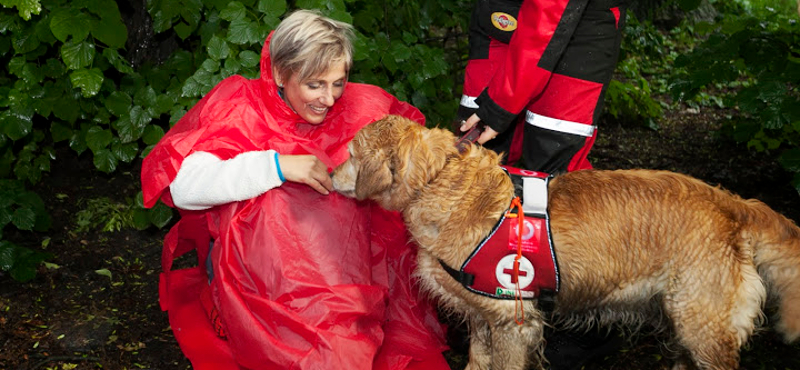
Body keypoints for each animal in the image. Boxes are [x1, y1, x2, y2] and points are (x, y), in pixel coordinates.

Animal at [328, 115, 800, 370]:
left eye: (349, 154)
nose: (329, 175)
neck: (441, 180)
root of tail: (732, 202)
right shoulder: (482, 317)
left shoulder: (513, 319)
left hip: (703, 326)